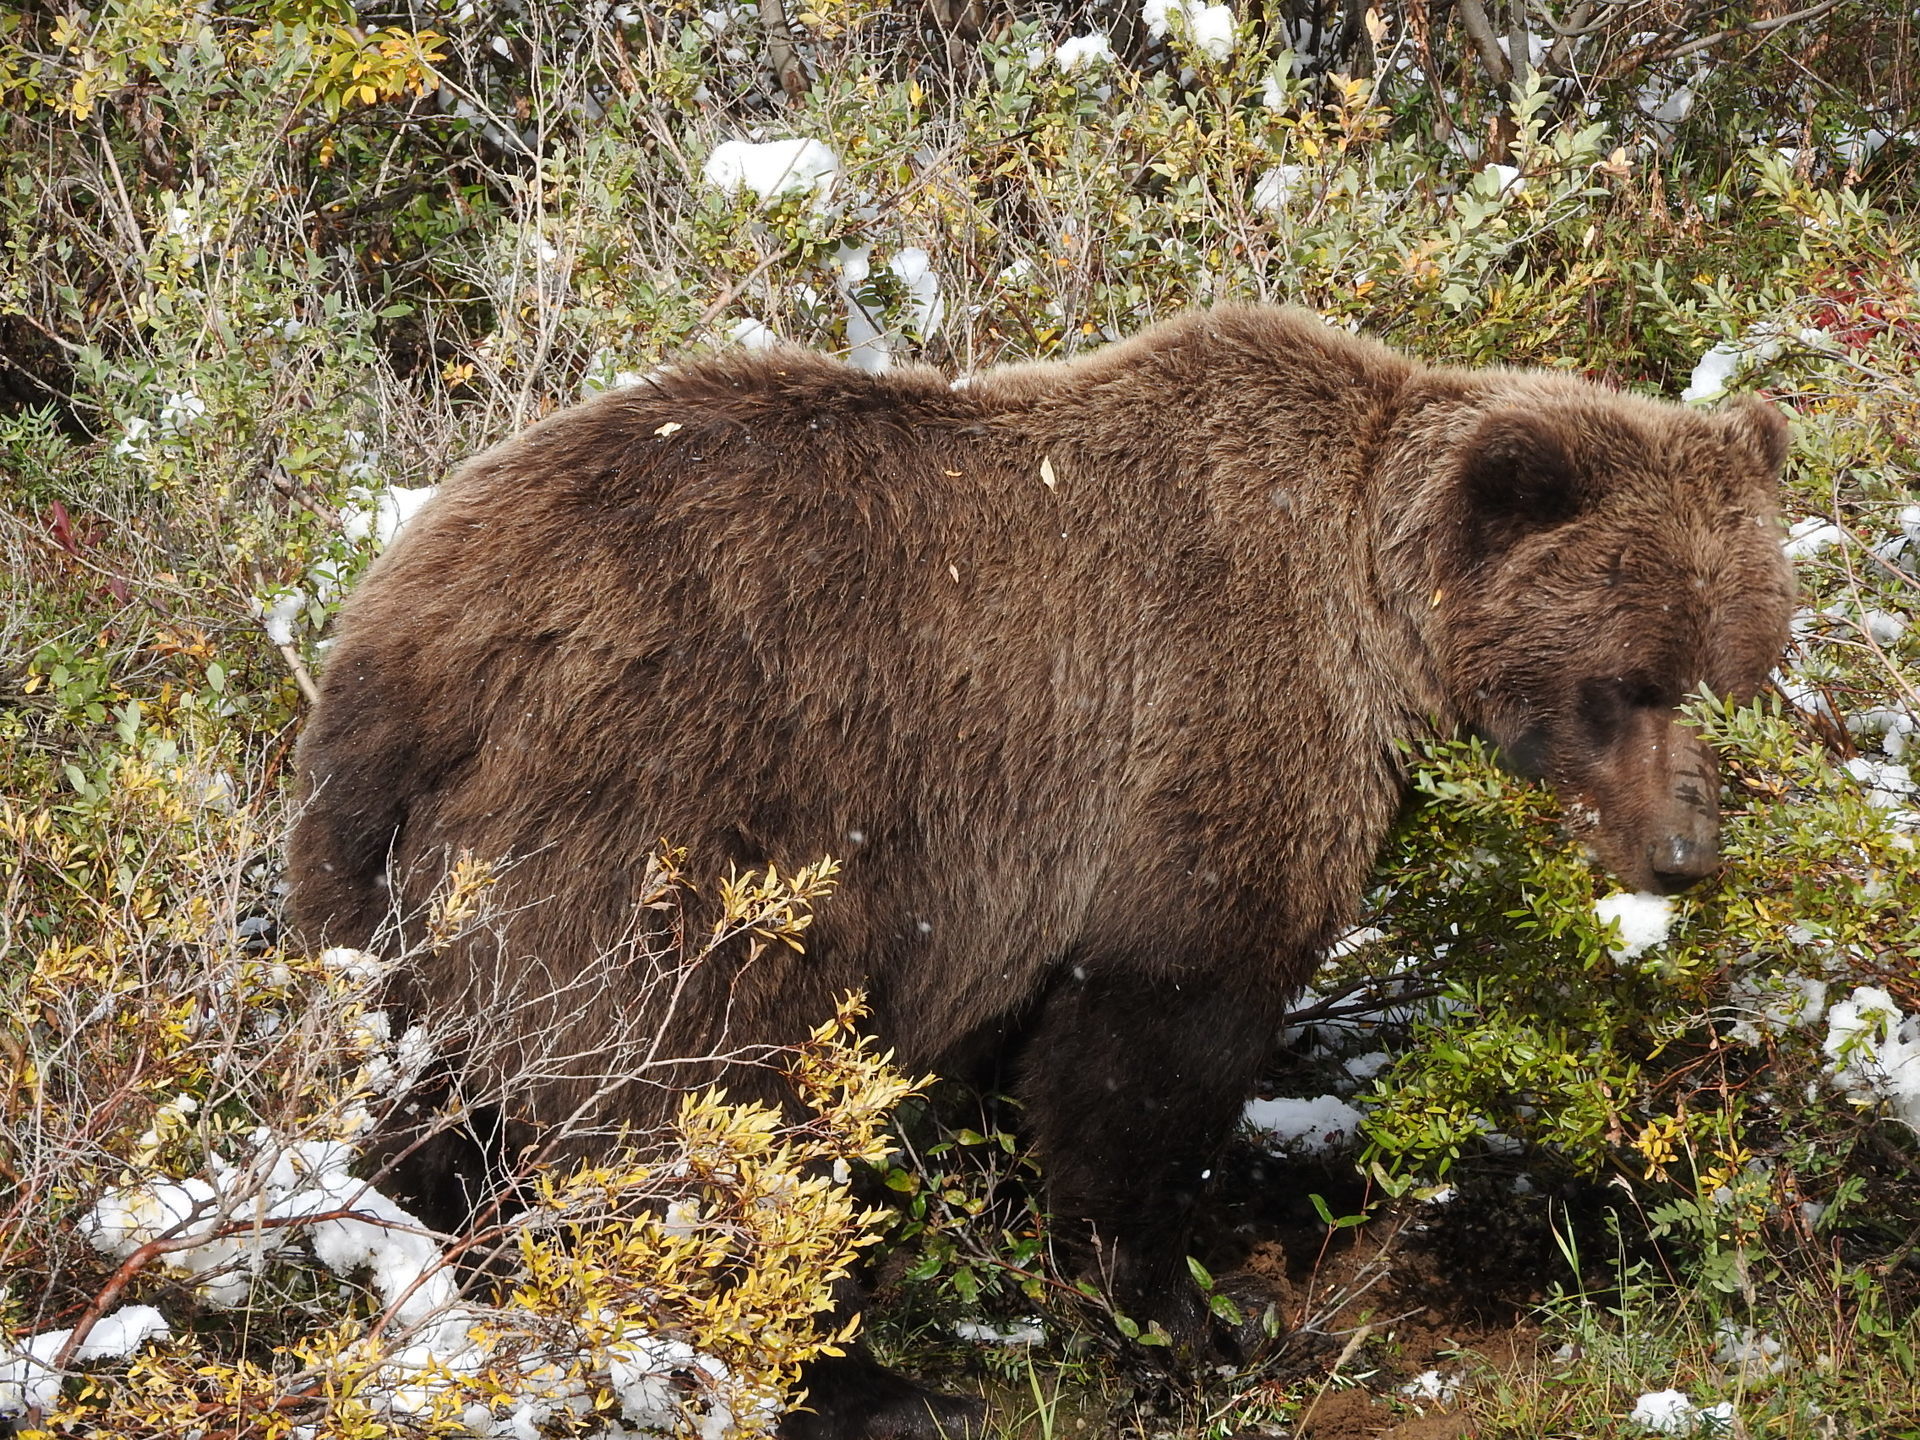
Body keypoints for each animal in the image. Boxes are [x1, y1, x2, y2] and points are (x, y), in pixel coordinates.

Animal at [288, 301, 1797, 1436]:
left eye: (1735, 678)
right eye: (1625, 682)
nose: (1685, 855)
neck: (1375, 610)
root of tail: (412, 643)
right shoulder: (1197, 741)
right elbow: (1147, 1059)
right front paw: (1191, 1319)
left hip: (390, 885)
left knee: (434, 1101)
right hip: (665, 818)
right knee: (681, 1100)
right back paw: (863, 1385)